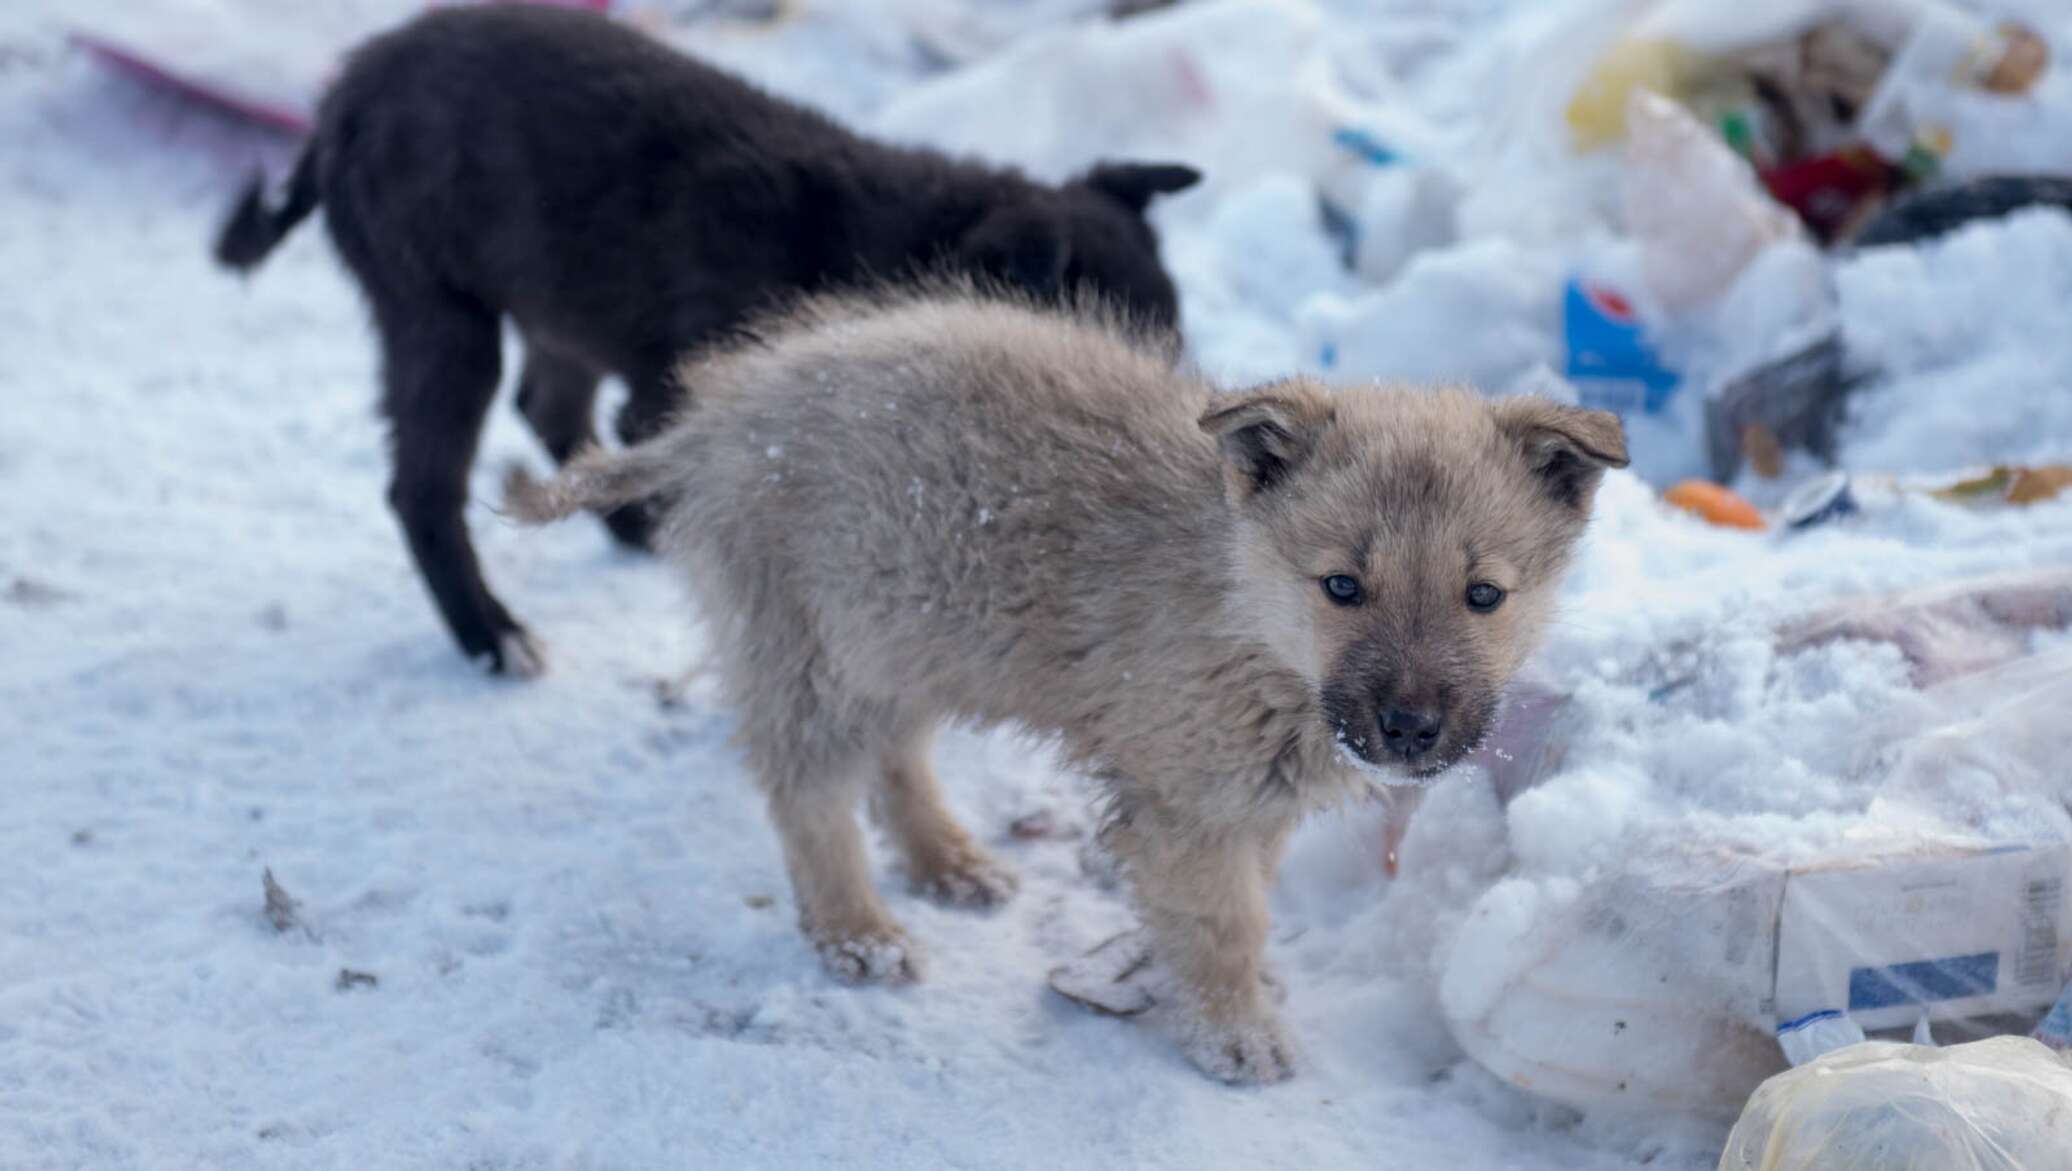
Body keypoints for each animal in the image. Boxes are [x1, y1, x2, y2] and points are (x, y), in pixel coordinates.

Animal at [214, 2, 1201, 675]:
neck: (892, 244)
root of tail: (338, 105)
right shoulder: (693, 391)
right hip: (439, 311)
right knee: (425, 488)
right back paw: (494, 634)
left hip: (555, 298)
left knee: (549, 407)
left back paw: (631, 529)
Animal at [501, 290, 1616, 1077]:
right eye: (1342, 585)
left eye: (1483, 595)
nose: (1410, 729)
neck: (1245, 615)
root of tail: (718, 420)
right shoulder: (1187, 803)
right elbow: (1222, 920)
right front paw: (1234, 1031)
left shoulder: (1242, 798)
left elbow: (1244, 903)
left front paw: (1245, 992)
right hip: (815, 648)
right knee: (809, 798)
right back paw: (858, 931)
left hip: (903, 630)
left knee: (893, 759)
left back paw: (947, 860)